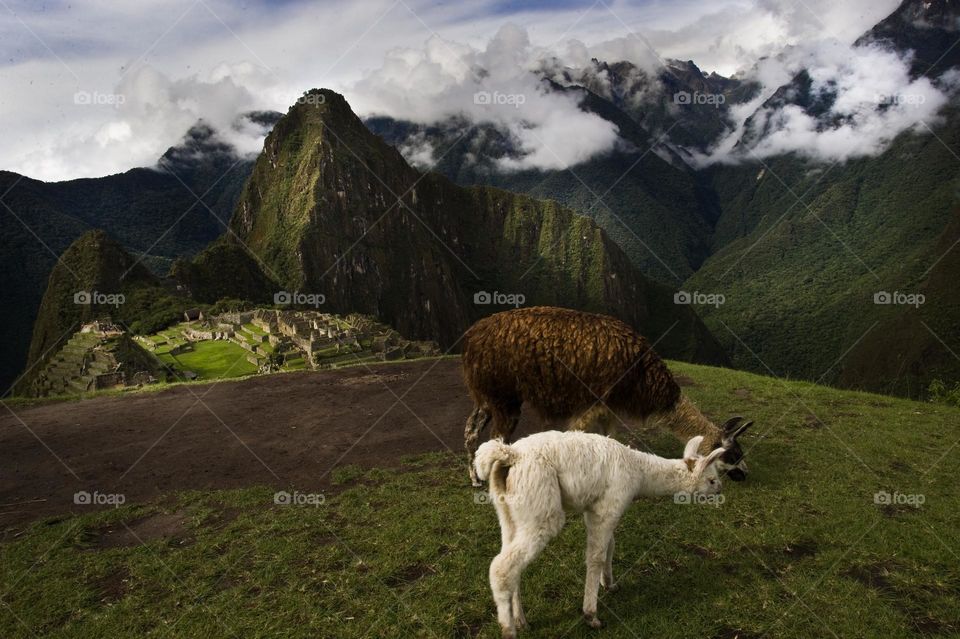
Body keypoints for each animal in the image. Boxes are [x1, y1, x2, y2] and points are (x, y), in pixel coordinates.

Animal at [462, 306, 752, 486]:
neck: (642, 374)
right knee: (496, 436)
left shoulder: (608, 403)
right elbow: (577, 433)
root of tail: (473, 336)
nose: (744, 475)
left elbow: (610, 436)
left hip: (487, 393)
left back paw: (475, 478)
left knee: (472, 430)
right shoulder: (597, 397)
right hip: (503, 394)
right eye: (734, 455)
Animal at [474, 430, 726, 638]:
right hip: (541, 508)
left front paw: (610, 584)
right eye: (712, 479)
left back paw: (521, 620)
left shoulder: (596, 509)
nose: (721, 490)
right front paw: (591, 615)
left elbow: (610, 547)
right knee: (501, 568)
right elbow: (595, 556)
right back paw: (508, 629)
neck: (639, 472)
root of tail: (511, 454)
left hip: (510, 512)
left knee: (510, 561)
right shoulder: (607, 507)